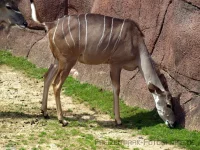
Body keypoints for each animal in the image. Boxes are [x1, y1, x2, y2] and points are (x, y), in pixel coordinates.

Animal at [29, 0, 175, 127]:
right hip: (68, 61)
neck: (136, 45)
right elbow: (117, 89)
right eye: (168, 104)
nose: (173, 123)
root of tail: (51, 24)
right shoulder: (116, 64)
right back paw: (62, 120)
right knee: (56, 84)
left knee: (47, 77)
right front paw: (118, 120)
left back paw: (45, 112)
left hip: (57, 60)